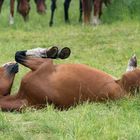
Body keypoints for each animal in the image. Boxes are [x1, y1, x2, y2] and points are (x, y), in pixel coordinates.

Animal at [0, 47, 139, 111]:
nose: (12, 65)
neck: (24, 97)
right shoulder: (44, 65)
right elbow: (19, 55)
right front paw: (52, 51)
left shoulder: (44, 65)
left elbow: (19, 55)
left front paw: (53, 52)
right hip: (128, 78)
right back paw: (133, 62)